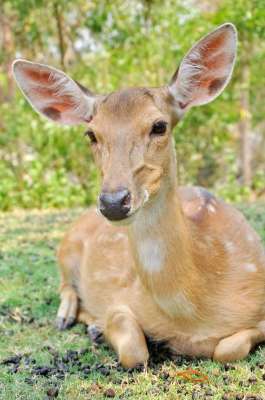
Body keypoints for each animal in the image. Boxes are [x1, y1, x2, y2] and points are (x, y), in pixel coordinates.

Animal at [12, 22, 264, 368]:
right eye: (91, 134)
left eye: (159, 126)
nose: (113, 202)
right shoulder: (121, 298)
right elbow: (133, 350)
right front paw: (102, 329)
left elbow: (228, 348)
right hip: (66, 247)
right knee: (65, 284)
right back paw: (70, 318)